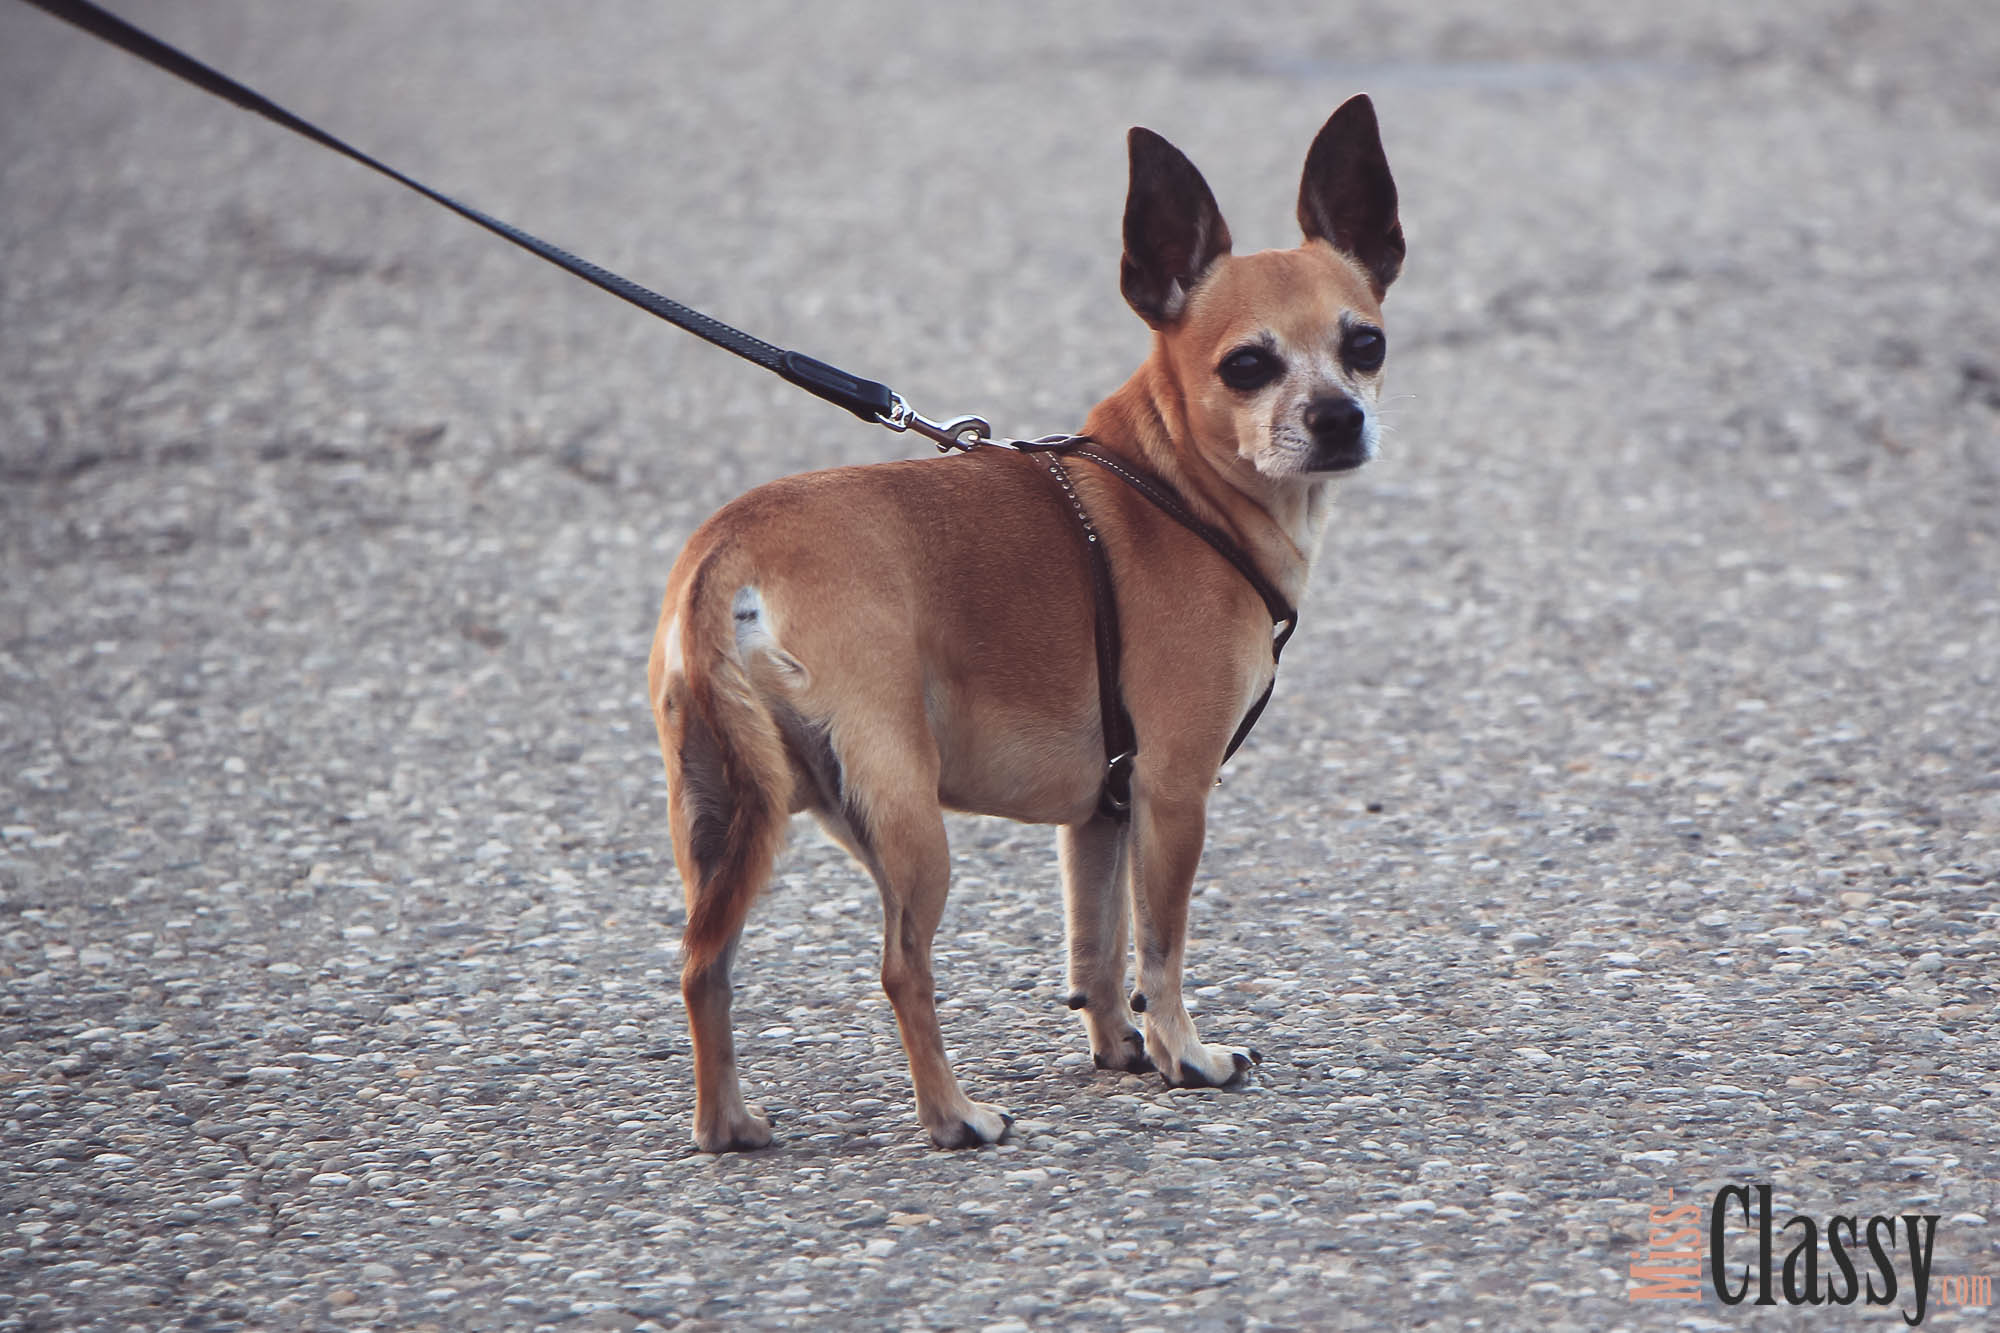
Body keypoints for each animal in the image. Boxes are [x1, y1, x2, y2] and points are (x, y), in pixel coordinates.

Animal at [648, 96, 1400, 1152]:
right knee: (901, 968)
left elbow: (1097, 947)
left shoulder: (1102, 815)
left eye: (1364, 344)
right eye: (1248, 366)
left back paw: (729, 1124)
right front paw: (1187, 1056)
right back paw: (953, 1117)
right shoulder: (1174, 793)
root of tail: (730, 552)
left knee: (703, 963)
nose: (1338, 417)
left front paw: (1124, 1049)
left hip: (729, 817)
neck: (1178, 488)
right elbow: (1160, 946)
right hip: (908, 823)